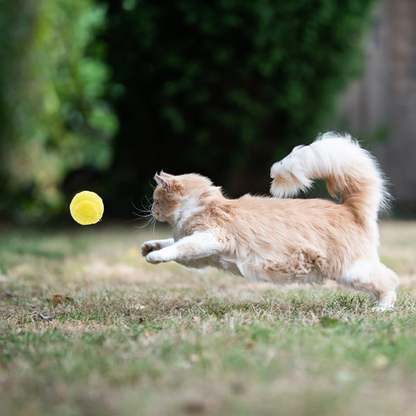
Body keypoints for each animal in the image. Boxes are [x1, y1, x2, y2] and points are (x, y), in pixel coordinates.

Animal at [142, 132, 400, 310]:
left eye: (156, 199)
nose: (151, 210)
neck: (201, 205)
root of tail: (348, 208)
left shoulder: (211, 238)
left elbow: (178, 247)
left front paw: (154, 256)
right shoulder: (200, 256)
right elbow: (172, 242)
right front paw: (149, 247)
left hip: (353, 270)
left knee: (389, 280)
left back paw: (382, 309)